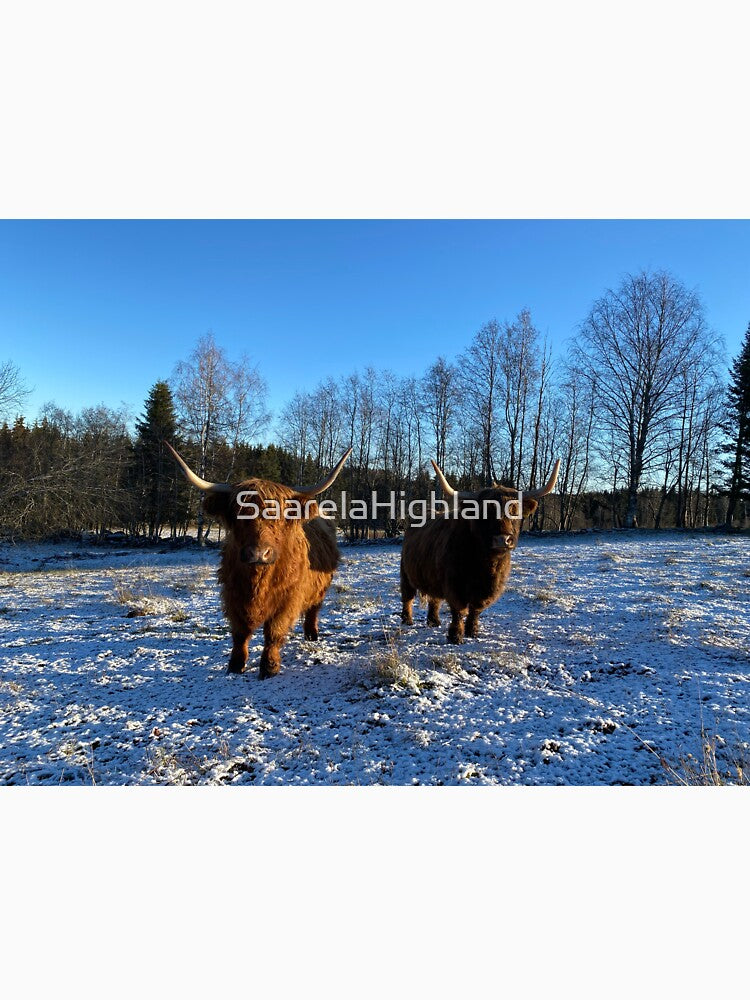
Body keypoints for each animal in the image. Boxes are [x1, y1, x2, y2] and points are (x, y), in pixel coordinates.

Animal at [166, 442, 351, 678]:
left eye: (278, 515)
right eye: (239, 513)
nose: (258, 553)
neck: (258, 581)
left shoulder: (288, 599)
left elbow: (274, 632)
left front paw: (269, 667)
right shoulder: (233, 595)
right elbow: (240, 633)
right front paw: (235, 665)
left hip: (320, 589)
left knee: (313, 610)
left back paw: (312, 635)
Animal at [400, 459, 560, 643]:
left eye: (515, 510)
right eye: (484, 511)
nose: (502, 539)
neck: (485, 564)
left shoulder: (489, 588)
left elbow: (476, 609)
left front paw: (473, 631)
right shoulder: (454, 584)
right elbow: (459, 610)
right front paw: (455, 636)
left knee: (434, 598)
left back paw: (434, 621)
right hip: (406, 573)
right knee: (407, 597)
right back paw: (407, 620)